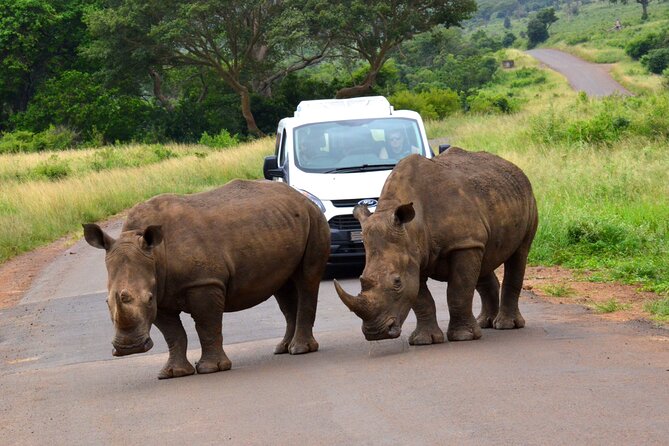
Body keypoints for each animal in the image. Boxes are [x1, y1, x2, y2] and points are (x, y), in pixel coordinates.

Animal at [85, 179, 330, 378]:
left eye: (147, 298)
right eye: (107, 302)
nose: (130, 349)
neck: (155, 255)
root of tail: (302, 196)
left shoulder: (203, 283)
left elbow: (207, 325)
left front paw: (211, 369)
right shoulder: (161, 294)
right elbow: (173, 334)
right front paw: (174, 374)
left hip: (315, 219)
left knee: (307, 279)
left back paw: (300, 350)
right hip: (283, 223)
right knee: (283, 288)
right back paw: (283, 348)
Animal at [334, 148, 536, 344]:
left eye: (397, 282)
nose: (376, 333)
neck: (412, 228)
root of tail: (513, 166)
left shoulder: (462, 244)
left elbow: (458, 291)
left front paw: (463, 337)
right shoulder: (415, 256)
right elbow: (421, 298)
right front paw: (425, 340)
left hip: (526, 198)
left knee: (519, 254)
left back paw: (506, 325)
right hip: (488, 208)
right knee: (484, 259)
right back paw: (485, 323)